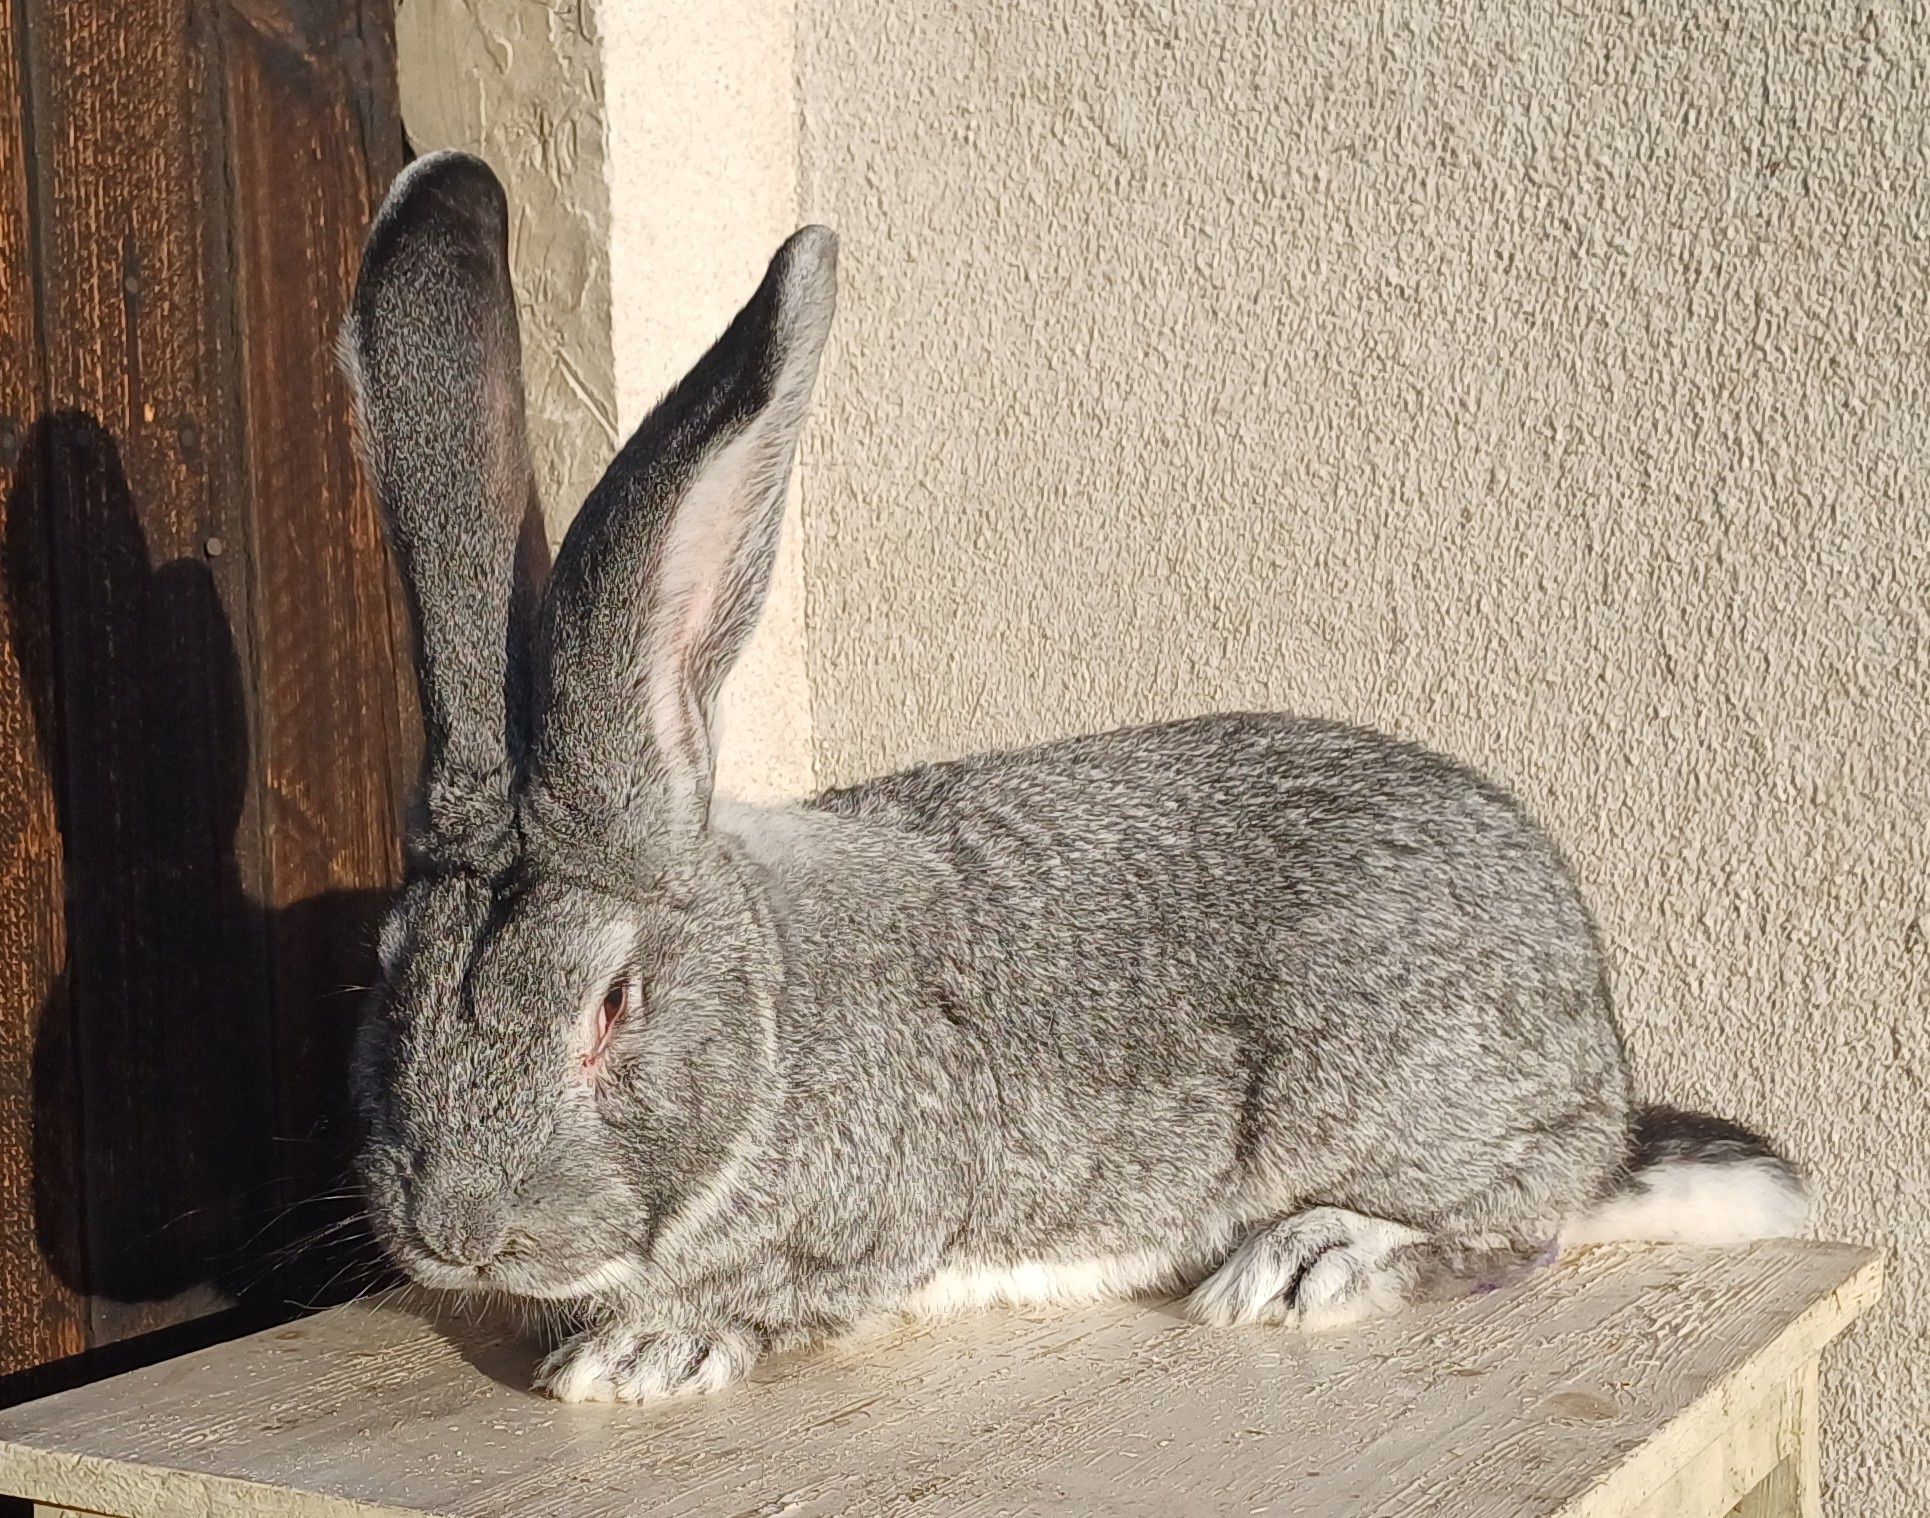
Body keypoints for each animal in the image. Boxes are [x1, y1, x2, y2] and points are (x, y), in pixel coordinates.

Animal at [343, 154, 1806, 1404]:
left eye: (611, 1004)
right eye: (386, 973)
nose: (456, 1230)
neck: (766, 1006)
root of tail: (1604, 1085)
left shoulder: (878, 1208)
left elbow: (787, 1291)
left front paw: (641, 1356)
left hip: (1402, 1105)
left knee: (1517, 1226)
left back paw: (1307, 1264)